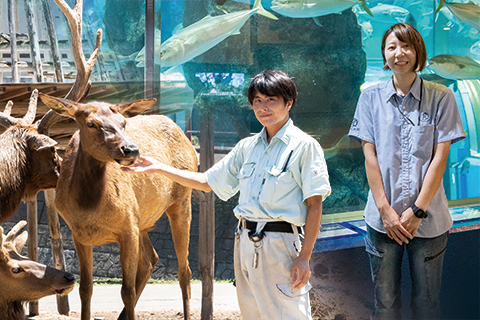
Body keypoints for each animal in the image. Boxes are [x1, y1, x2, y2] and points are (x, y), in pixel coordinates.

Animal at [38, 93, 198, 320]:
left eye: (124, 123)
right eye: (91, 123)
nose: (131, 150)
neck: (88, 208)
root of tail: (189, 143)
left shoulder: (127, 228)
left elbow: (126, 291)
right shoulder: (80, 235)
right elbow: (85, 288)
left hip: (181, 201)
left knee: (184, 271)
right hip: (142, 220)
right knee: (151, 259)